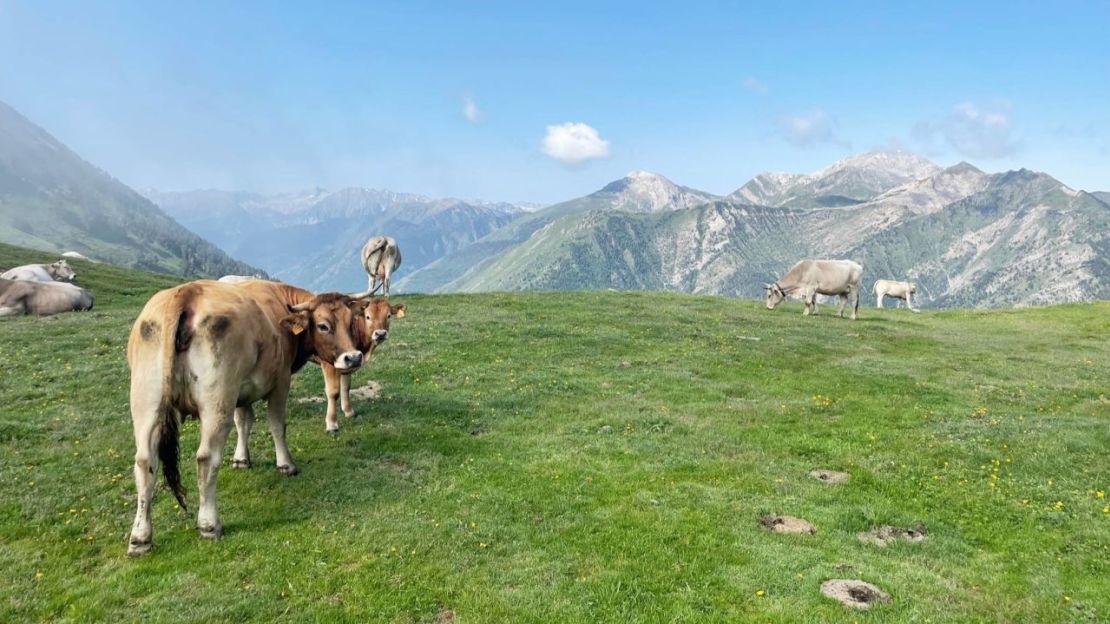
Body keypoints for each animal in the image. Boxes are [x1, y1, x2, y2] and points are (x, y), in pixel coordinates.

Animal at [125, 279, 368, 550]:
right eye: (323, 325)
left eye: (350, 321)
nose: (353, 357)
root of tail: (186, 293)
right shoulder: (280, 381)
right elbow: (277, 425)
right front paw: (286, 464)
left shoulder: (241, 391)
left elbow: (243, 422)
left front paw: (241, 459)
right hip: (217, 399)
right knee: (206, 458)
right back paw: (209, 524)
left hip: (146, 402)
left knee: (145, 461)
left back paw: (140, 537)